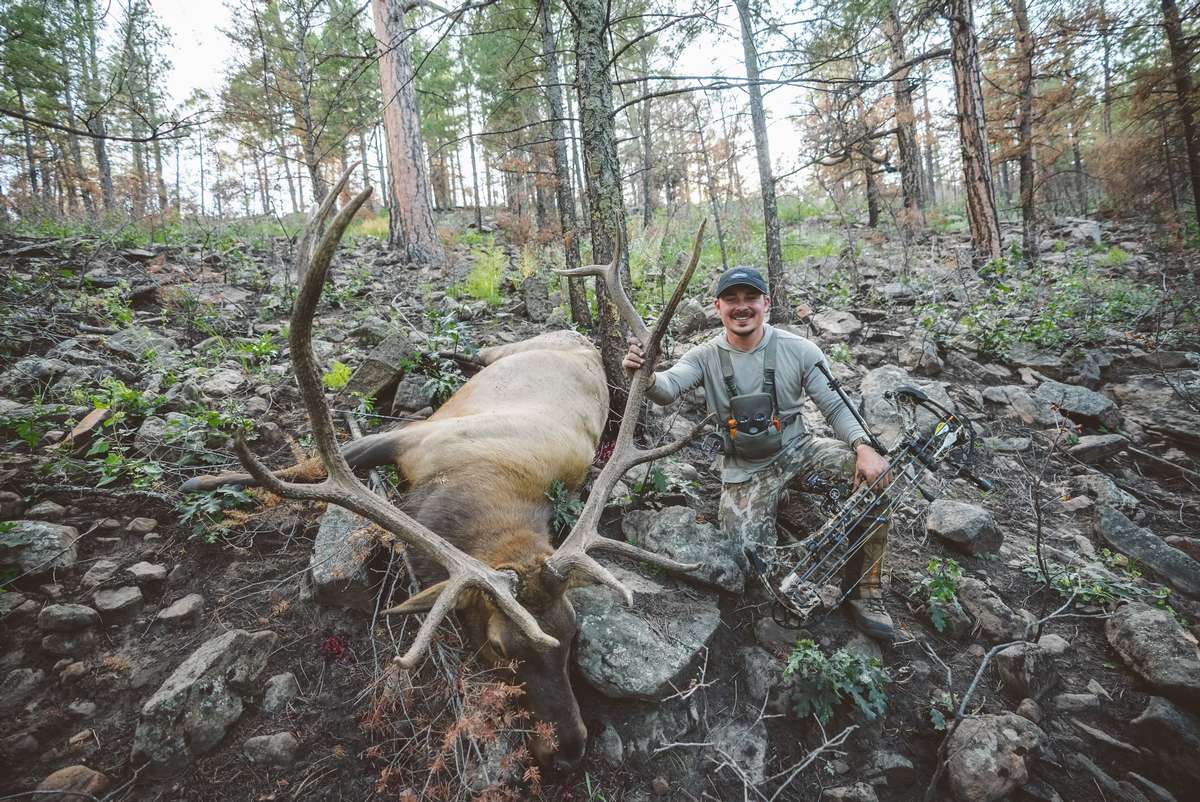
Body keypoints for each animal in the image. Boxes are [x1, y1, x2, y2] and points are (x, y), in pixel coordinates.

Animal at [181, 164, 705, 768]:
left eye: (574, 633)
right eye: (501, 646)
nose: (571, 748)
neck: (469, 487)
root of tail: (577, 335)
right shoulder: (412, 436)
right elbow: (315, 462)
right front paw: (205, 478)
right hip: (507, 352)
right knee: (475, 351)